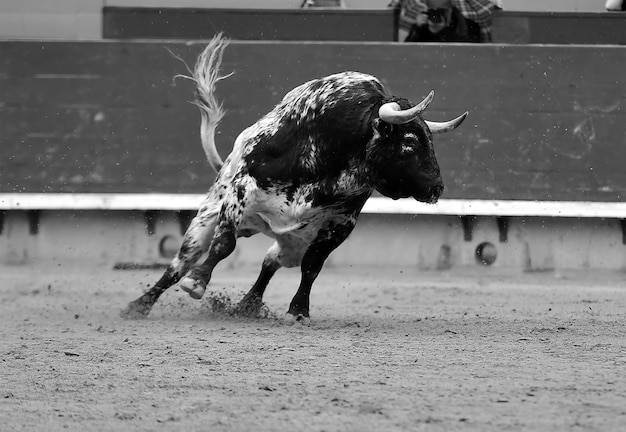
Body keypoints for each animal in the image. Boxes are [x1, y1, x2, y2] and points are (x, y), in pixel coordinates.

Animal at [119, 36, 466, 324]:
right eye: (409, 142)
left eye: (429, 141)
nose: (437, 188)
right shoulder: (241, 191)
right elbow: (224, 244)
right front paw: (197, 281)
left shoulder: (341, 223)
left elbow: (312, 266)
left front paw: (298, 311)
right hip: (206, 217)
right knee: (180, 263)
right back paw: (139, 305)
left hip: (293, 242)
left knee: (270, 263)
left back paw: (247, 305)